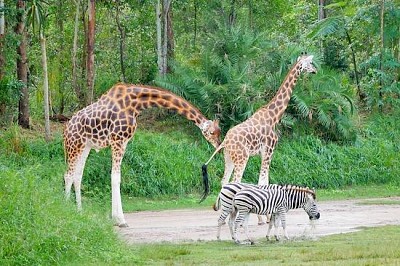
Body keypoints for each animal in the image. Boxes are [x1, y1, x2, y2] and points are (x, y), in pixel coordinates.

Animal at [63, 83, 220, 227]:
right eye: (212, 132)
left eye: (219, 131)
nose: (219, 145)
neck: (136, 104)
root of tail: (65, 130)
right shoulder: (117, 140)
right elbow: (115, 177)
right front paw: (120, 220)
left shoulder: (124, 142)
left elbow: (114, 177)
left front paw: (115, 218)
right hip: (74, 145)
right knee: (68, 175)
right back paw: (67, 209)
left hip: (85, 146)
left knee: (77, 175)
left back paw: (79, 211)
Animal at [202, 54, 318, 222]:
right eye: (310, 63)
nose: (315, 70)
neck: (274, 116)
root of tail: (225, 142)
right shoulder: (269, 150)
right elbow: (263, 181)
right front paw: (265, 217)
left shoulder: (264, 153)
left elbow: (263, 181)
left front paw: (264, 215)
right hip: (242, 158)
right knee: (235, 181)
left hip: (228, 158)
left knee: (224, 181)